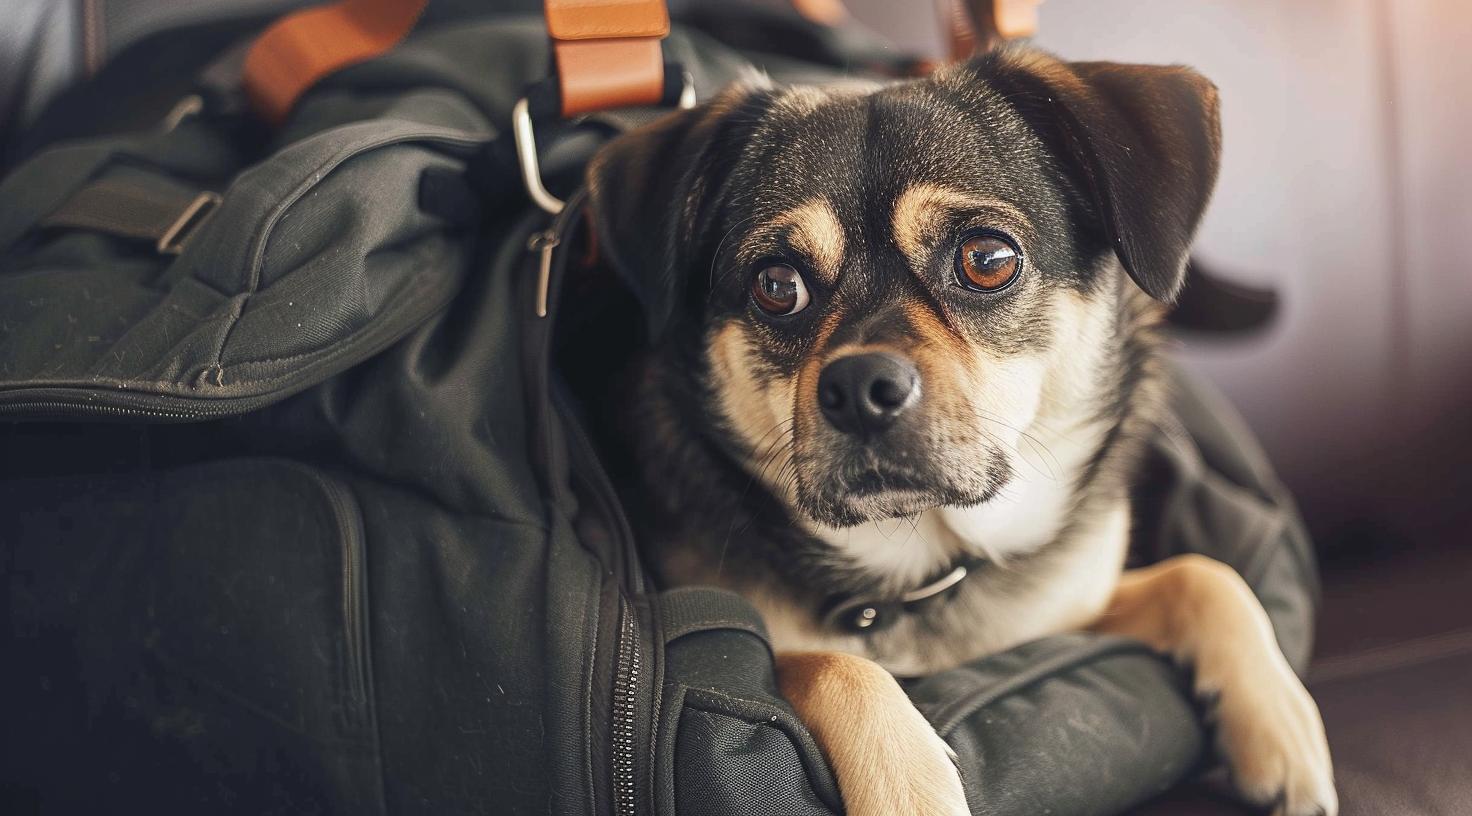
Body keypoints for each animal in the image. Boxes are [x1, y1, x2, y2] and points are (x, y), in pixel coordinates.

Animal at [582, 46, 1336, 813]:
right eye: (776, 285)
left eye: (988, 259)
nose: (858, 389)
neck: (922, 566)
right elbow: (832, 665)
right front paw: (911, 787)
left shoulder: (1065, 613)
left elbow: (1204, 576)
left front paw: (1283, 730)